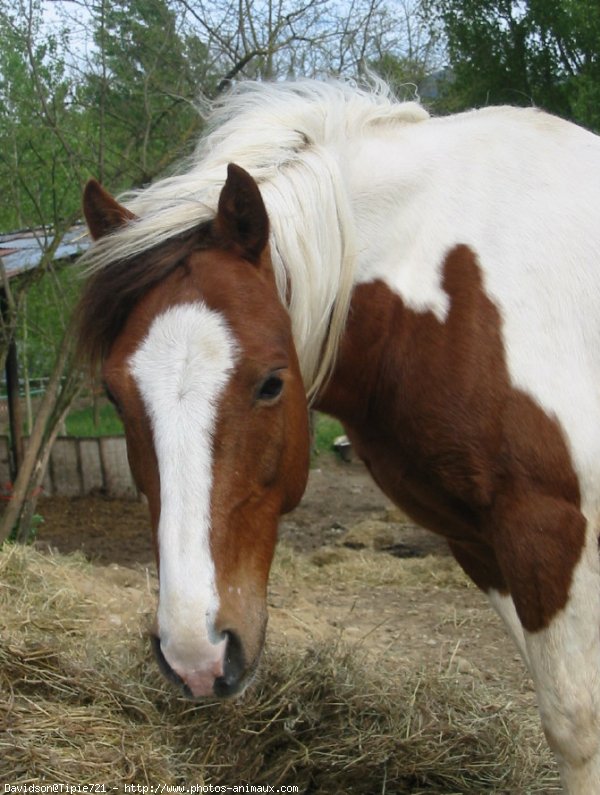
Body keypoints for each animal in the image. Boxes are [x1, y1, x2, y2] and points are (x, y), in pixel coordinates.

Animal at [77, 79, 600, 788]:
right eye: (113, 394)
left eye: (272, 383)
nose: (196, 654)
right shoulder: (482, 541)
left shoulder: (553, 531)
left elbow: (576, 723)